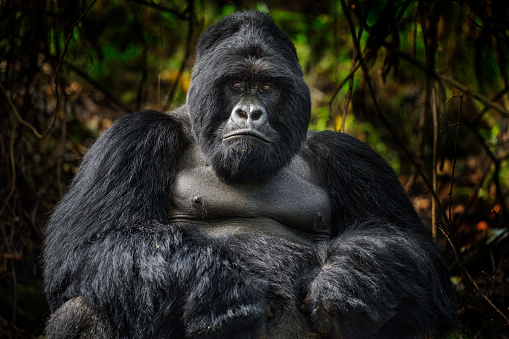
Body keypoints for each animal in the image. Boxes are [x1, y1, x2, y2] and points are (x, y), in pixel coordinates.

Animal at [43, 10, 456, 339]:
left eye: (267, 87)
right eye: (236, 84)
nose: (250, 112)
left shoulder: (348, 153)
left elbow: (413, 249)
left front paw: (352, 280)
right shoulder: (132, 137)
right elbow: (90, 246)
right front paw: (217, 287)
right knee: (88, 305)